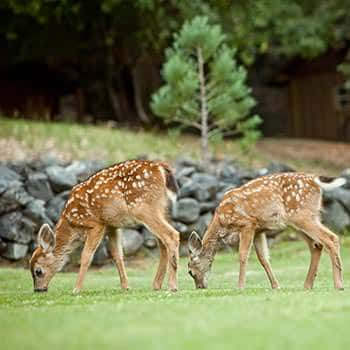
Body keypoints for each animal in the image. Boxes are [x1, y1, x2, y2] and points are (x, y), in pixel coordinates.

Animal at [28, 160, 179, 294]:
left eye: (38, 271)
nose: (38, 290)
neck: (72, 224)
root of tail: (161, 168)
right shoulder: (112, 225)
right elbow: (117, 254)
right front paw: (125, 286)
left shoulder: (96, 224)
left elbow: (86, 255)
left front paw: (76, 289)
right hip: (161, 209)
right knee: (162, 243)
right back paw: (157, 285)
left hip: (143, 207)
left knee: (172, 235)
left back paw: (172, 286)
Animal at [187, 172, 346, 290]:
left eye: (190, 271)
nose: (200, 287)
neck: (221, 221)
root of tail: (315, 180)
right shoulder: (259, 229)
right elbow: (263, 259)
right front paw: (276, 286)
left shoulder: (247, 223)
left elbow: (243, 255)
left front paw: (240, 286)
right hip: (302, 219)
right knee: (316, 245)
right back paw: (308, 285)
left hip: (301, 215)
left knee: (331, 238)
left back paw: (338, 285)